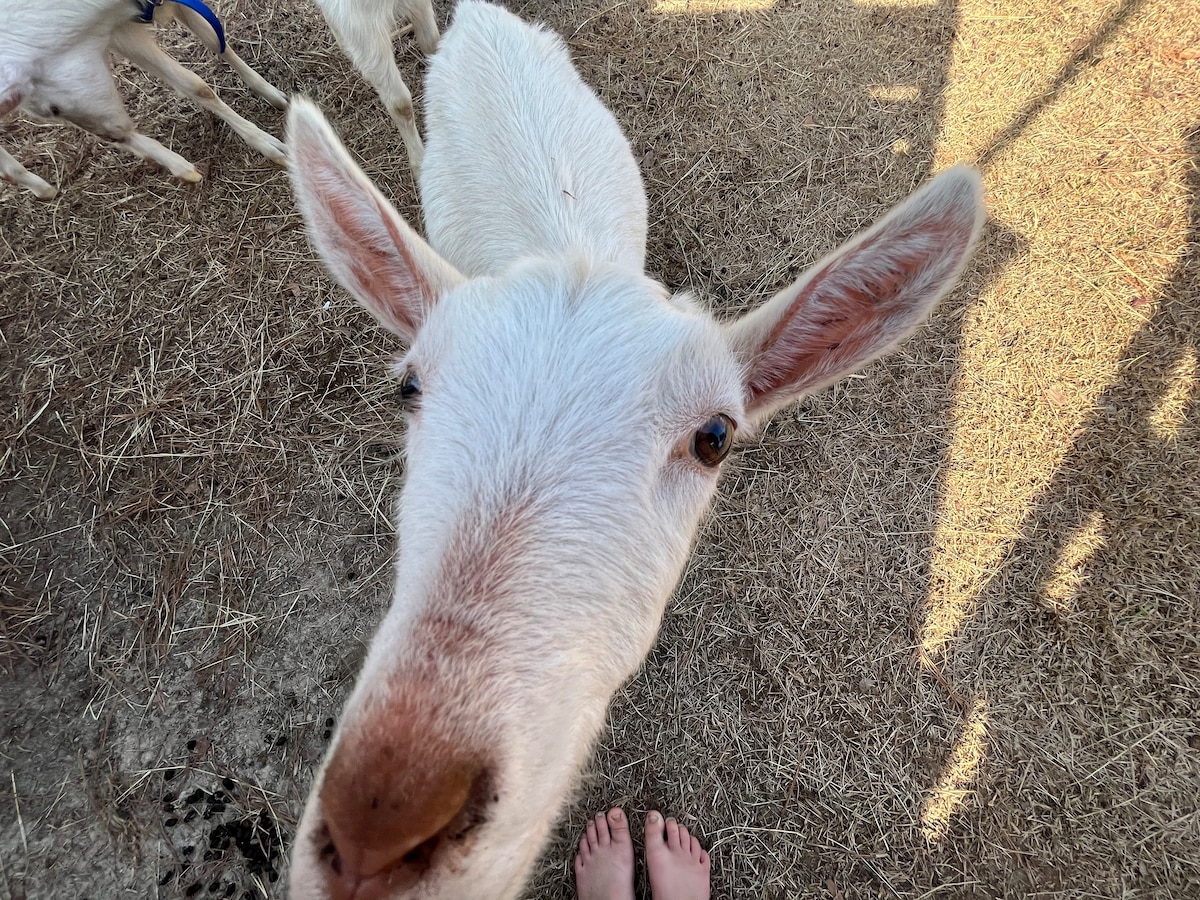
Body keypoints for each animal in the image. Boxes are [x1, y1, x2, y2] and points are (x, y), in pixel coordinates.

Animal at [0, 0, 285, 200]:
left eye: (54, 109)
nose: (110, 137)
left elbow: (215, 40)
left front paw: (272, 94)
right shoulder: (117, 29)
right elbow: (195, 84)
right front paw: (268, 144)